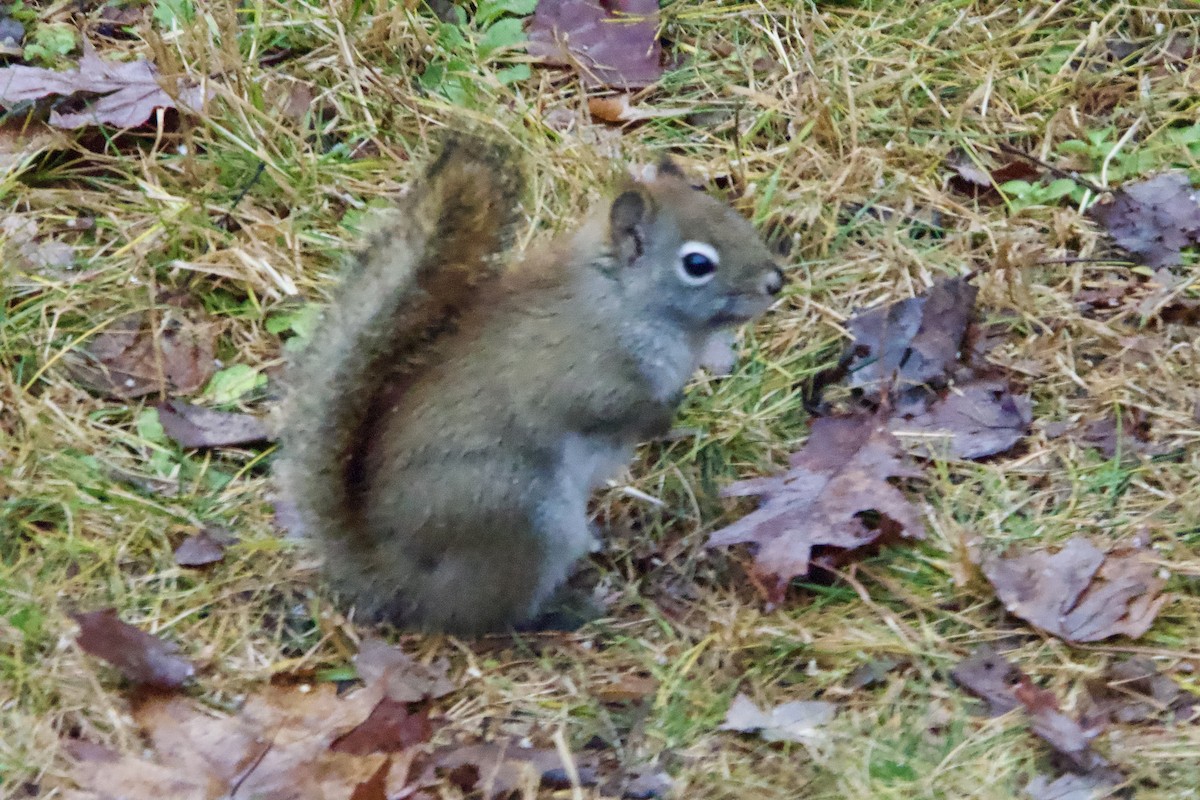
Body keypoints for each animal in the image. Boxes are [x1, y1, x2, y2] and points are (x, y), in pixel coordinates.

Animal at [276, 133, 784, 635]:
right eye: (697, 264)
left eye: (730, 214)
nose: (776, 281)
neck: (623, 301)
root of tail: (398, 580)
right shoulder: (579, 374)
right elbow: (607, 408)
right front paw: (661, 416)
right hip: (521, 514)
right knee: (490, 615)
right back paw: (566, 611)